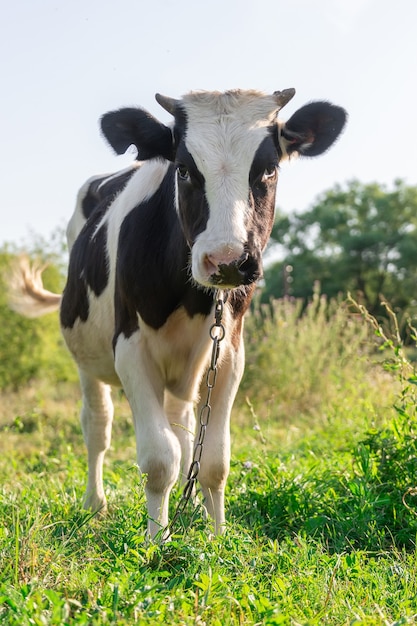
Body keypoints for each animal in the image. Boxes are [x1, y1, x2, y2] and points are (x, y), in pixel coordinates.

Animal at [11, 88, 346, 536]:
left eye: (270, 169)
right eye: (184, 170)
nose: (226, 261)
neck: (191, 296)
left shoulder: (231, 352)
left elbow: (213, 459)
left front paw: (217, 535)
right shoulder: (130, 349)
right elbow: (158, 459)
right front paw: (157, 539)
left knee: (185, 428)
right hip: (86, 357)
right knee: (98, 426)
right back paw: (95, 504)